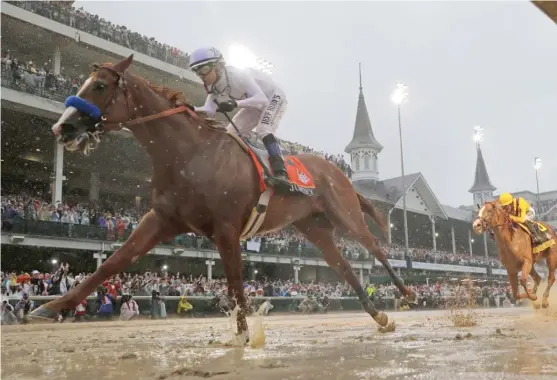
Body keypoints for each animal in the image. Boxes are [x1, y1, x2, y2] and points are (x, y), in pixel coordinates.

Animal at [29, 55, 412, 338]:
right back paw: (379, 316)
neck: (189, 155)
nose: (62, 127)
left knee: (375, 247)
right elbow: (113, 262)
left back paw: (407, 292)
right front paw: (49, 306)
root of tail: (340, 172)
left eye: (100, 85)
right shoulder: (162, 219)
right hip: (315, 229)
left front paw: (243, 337)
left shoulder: (227, 229)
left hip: (344, 214)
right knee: (345, 268)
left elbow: (235, 284)